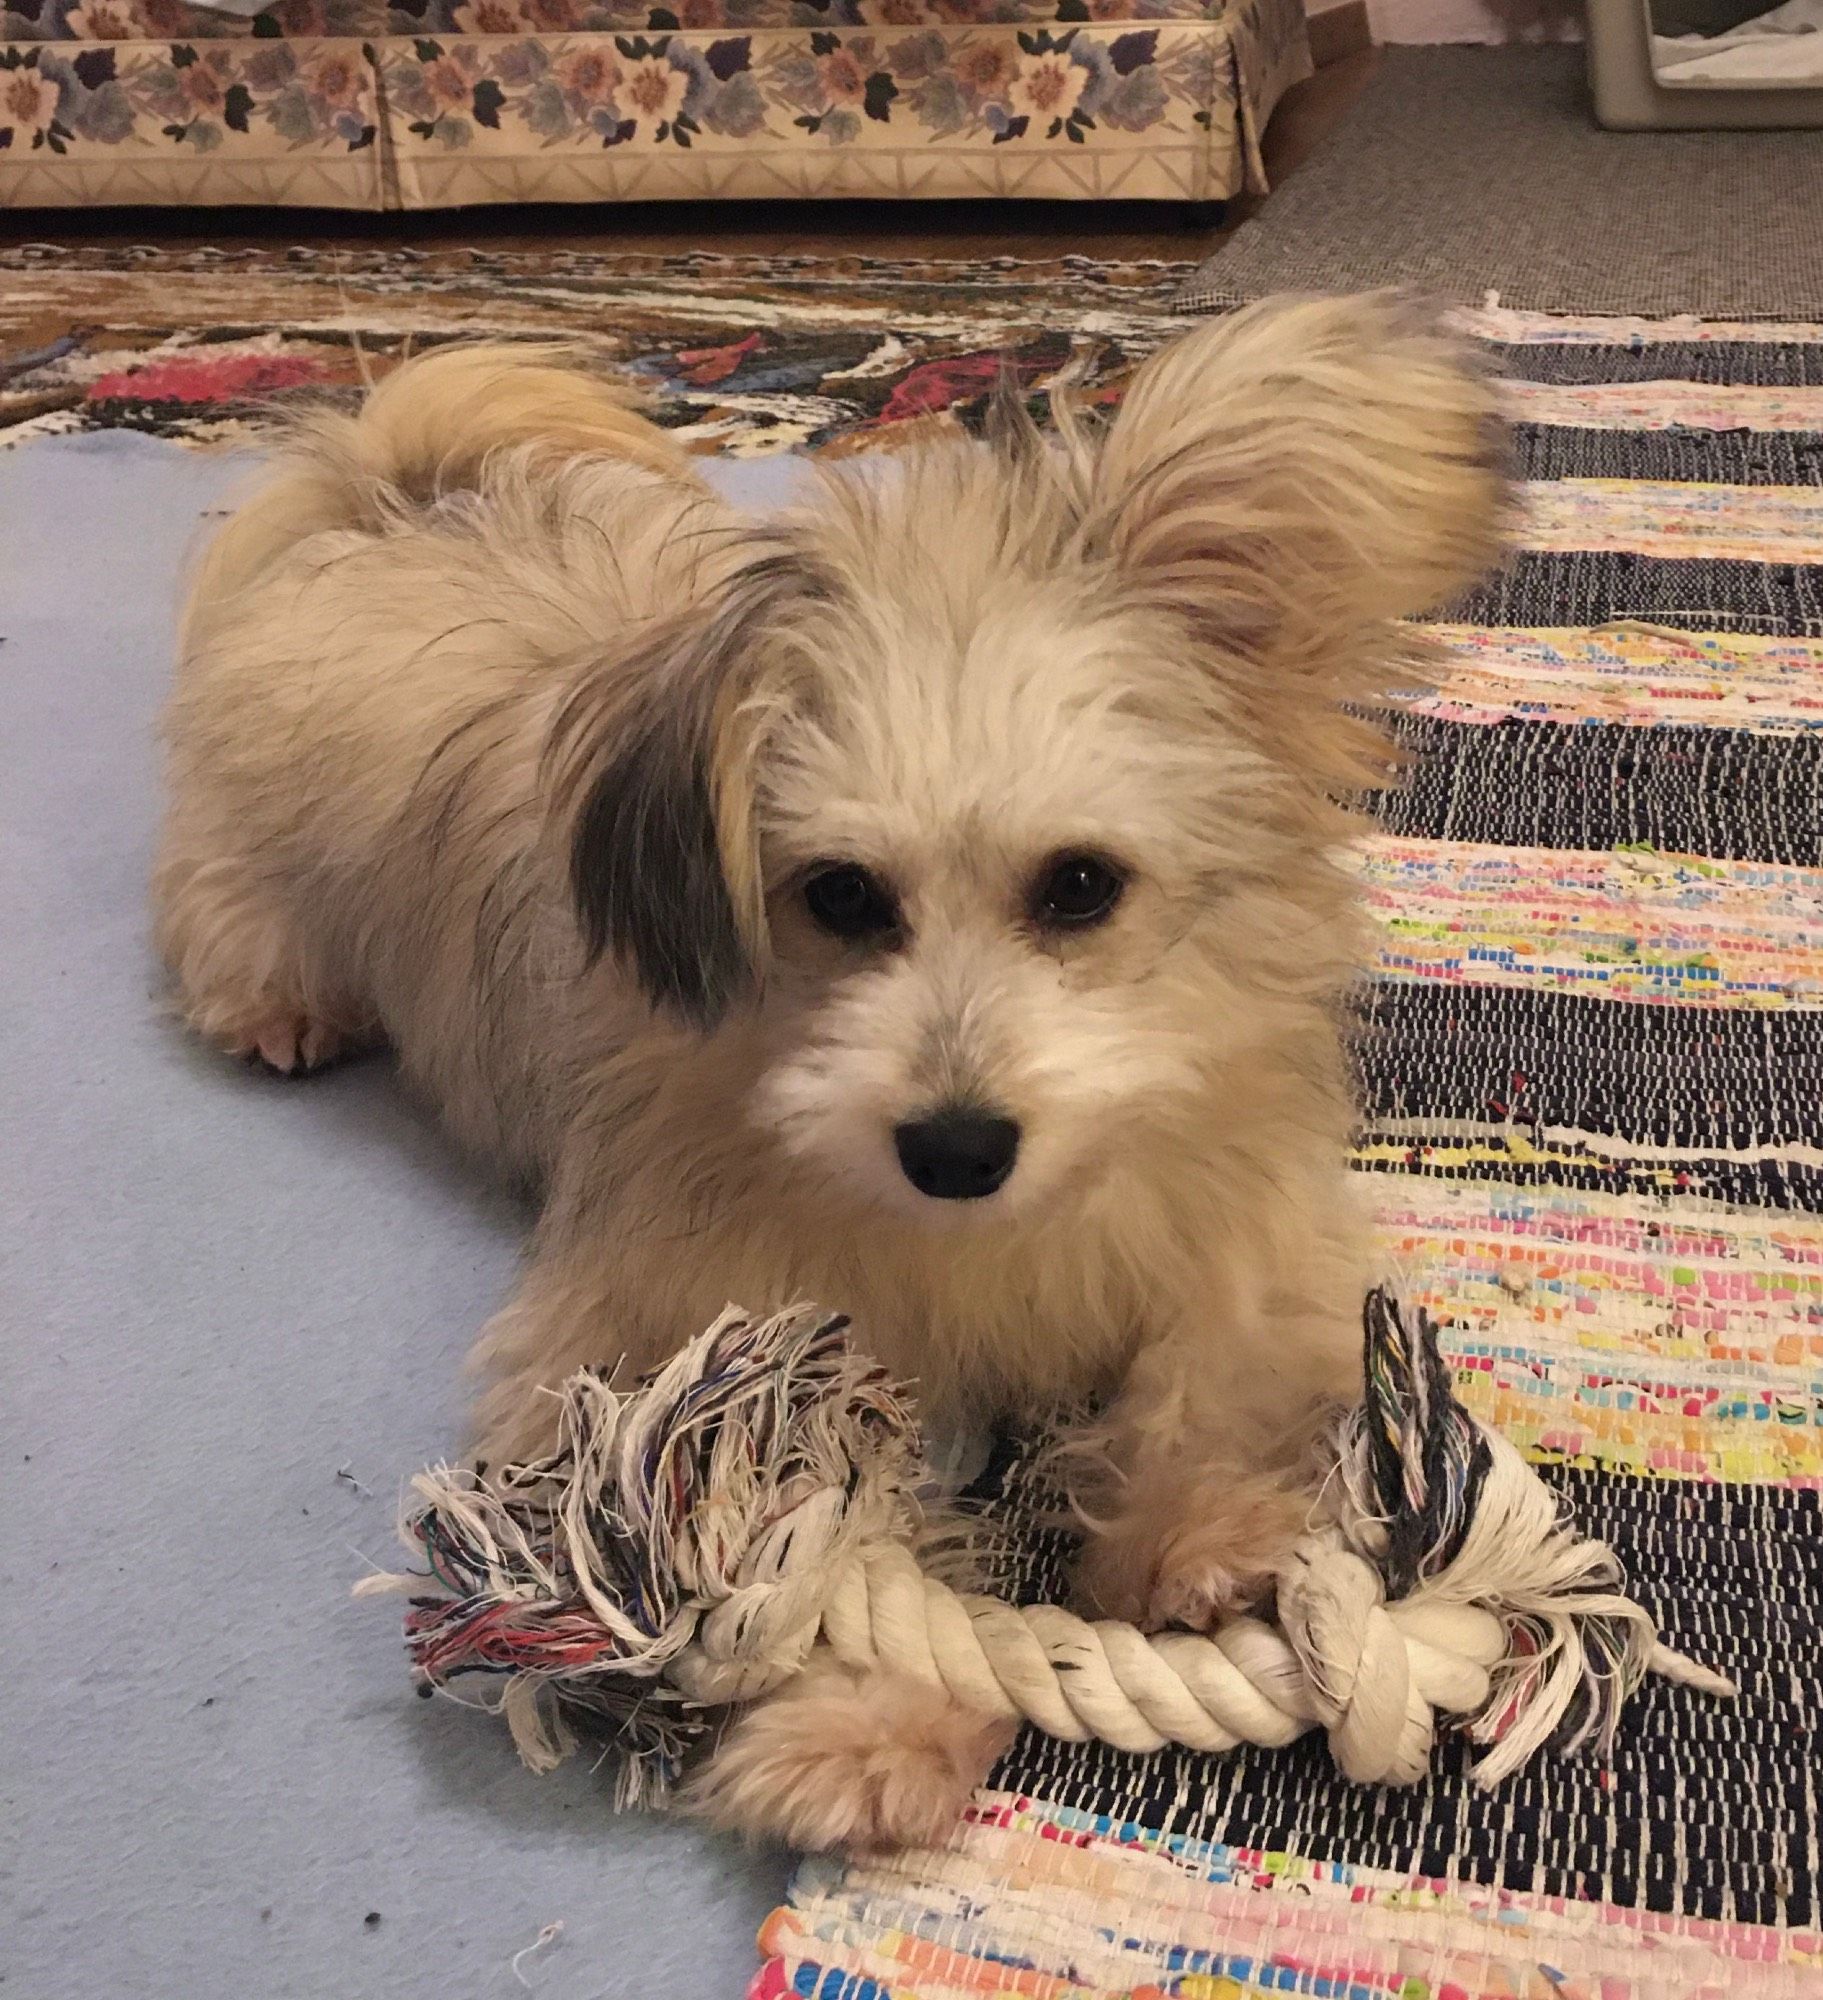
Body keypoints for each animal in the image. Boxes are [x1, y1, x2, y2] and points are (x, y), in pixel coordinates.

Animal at [156, 300, 1503, 1856]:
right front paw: (874, 1716)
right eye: (841, 895)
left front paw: (1198, 1528)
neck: (984, 1241)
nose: (957, 1146)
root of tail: (395, 501)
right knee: (225, 903)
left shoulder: (1251, 1232)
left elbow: (1208, 1365)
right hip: (256, 867)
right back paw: (275, 1002)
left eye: (1081, 885)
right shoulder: (638, 1346)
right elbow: (769, 1523)